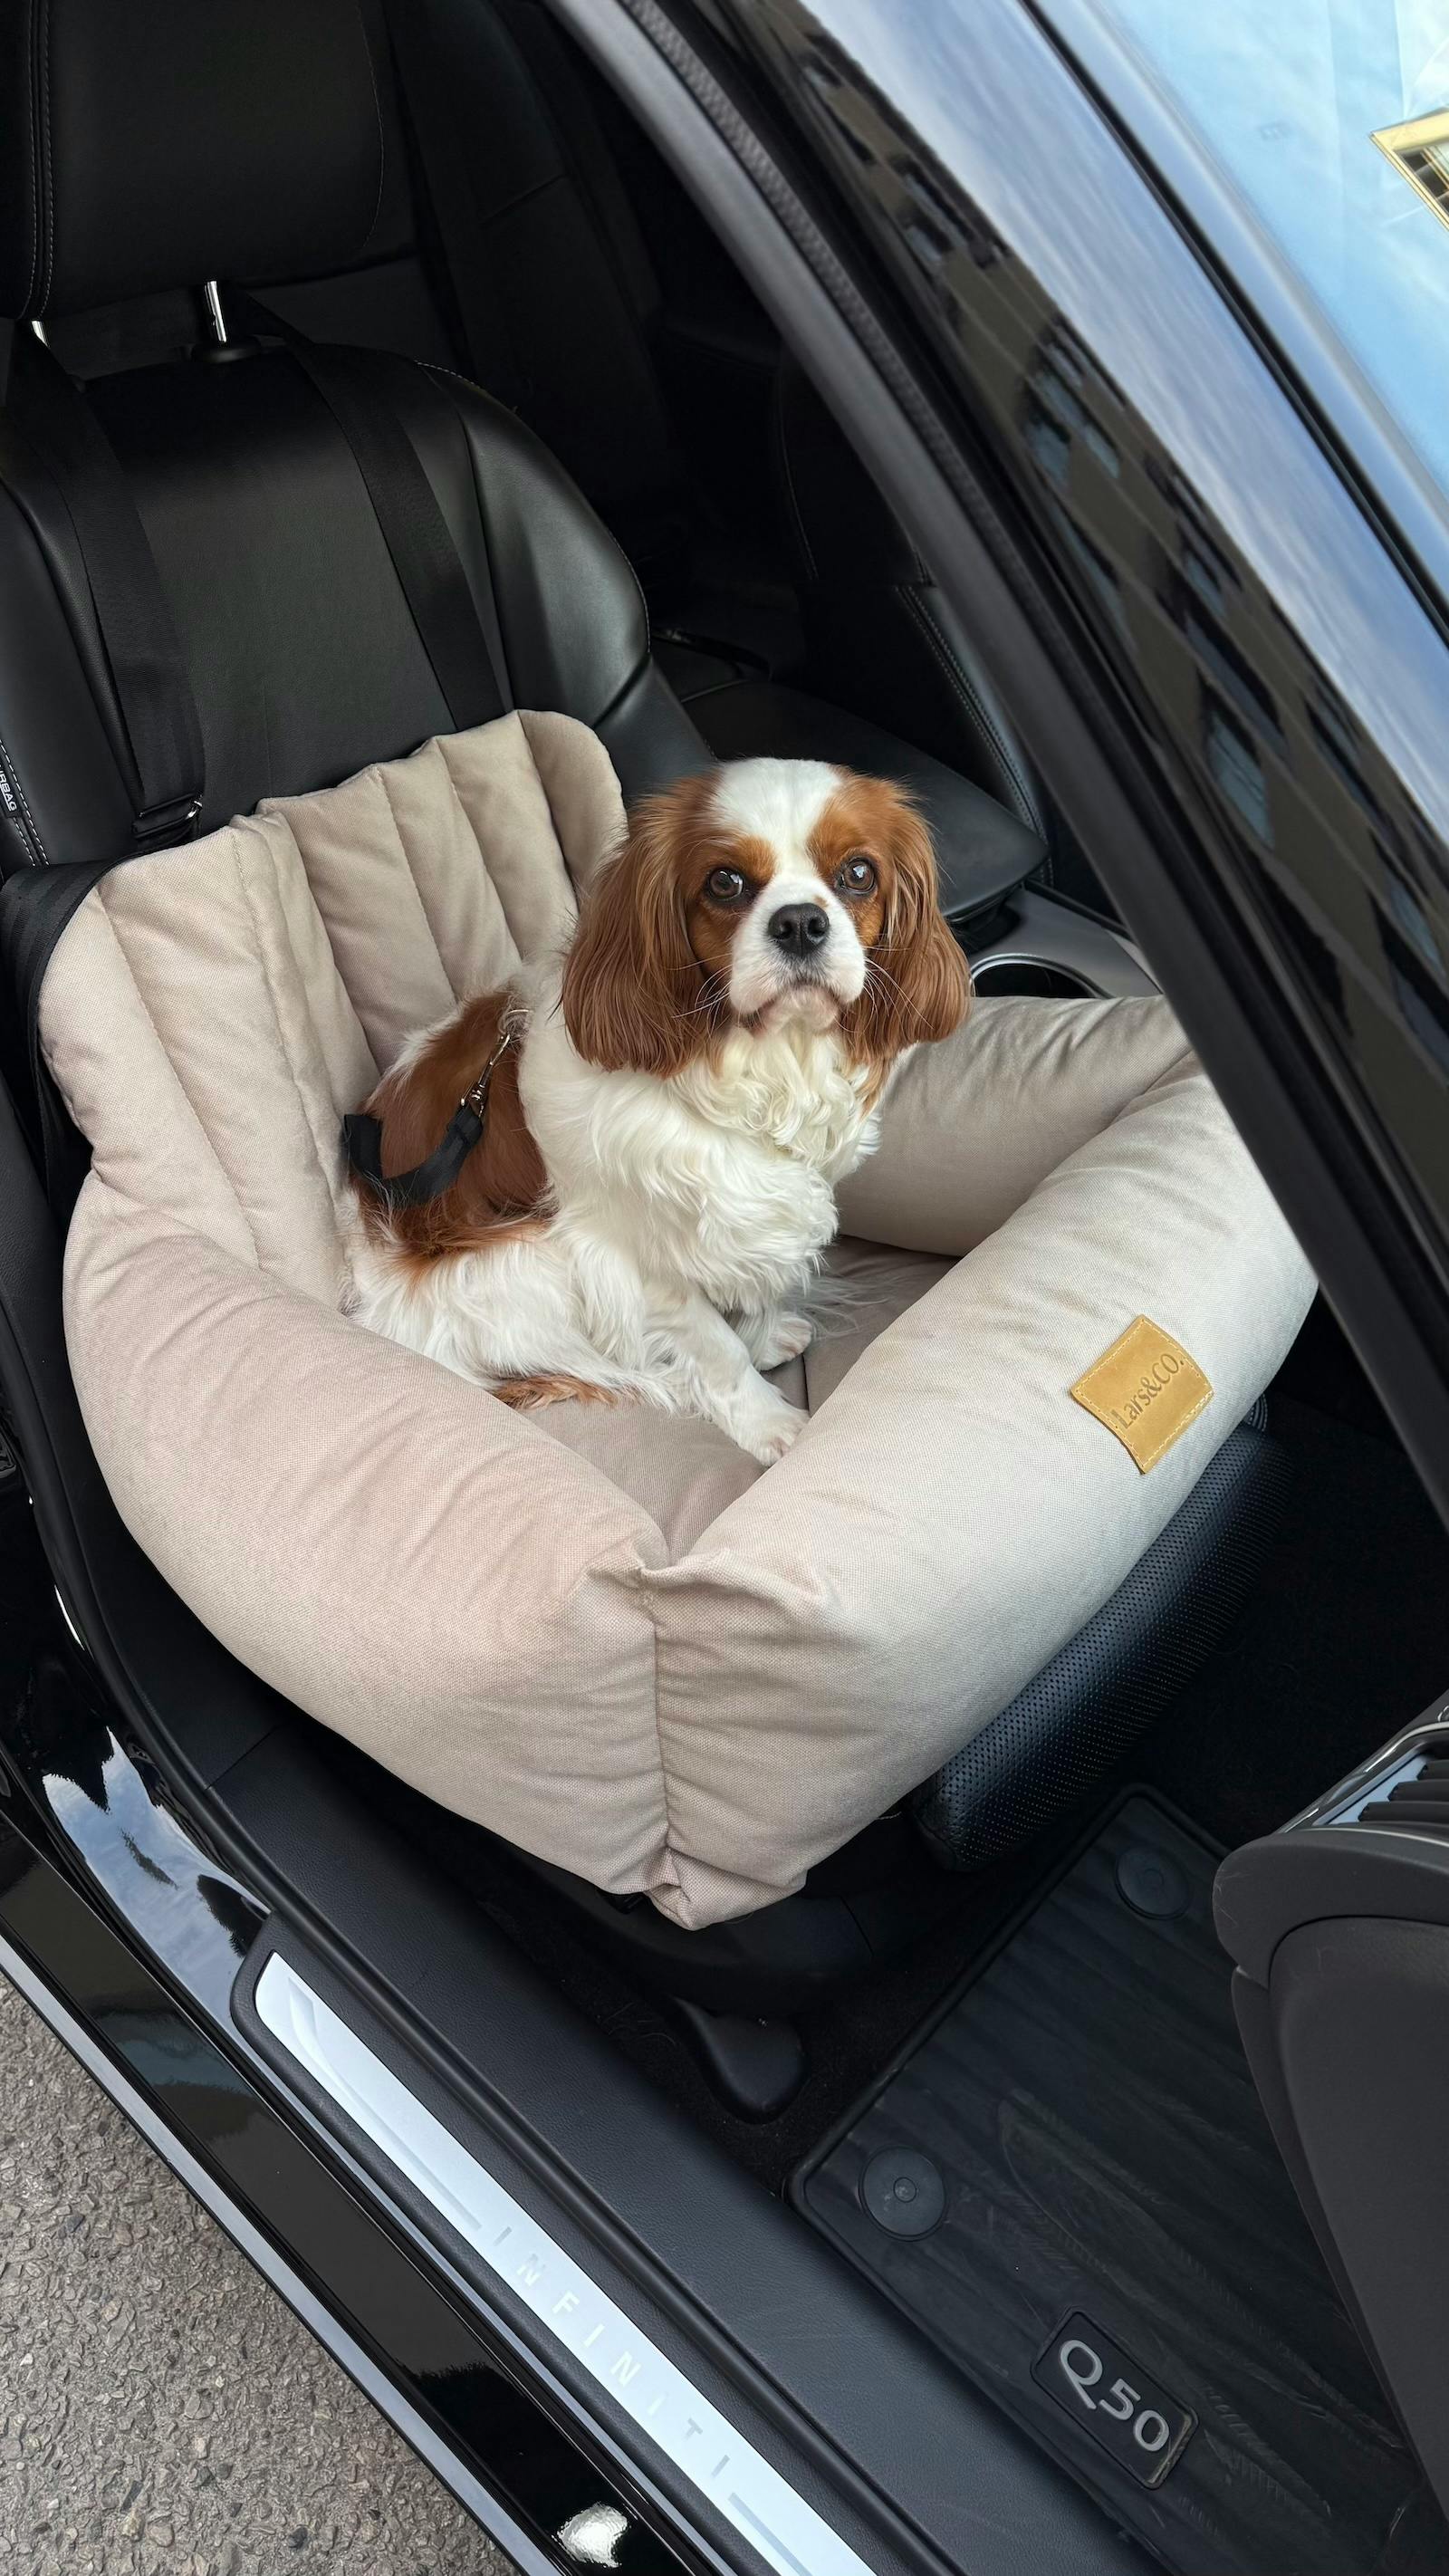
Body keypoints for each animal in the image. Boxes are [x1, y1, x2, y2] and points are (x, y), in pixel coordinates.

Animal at [348, 757, 969, 1462]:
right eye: (725, 882)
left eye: (858, 874)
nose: (801, 923)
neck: (760, 1065)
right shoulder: (634, 1259)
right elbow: (716, 1350)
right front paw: (766, 1420)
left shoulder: (758, 1209)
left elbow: (756, 1291)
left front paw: (765, 1337)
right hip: (519, 1260)